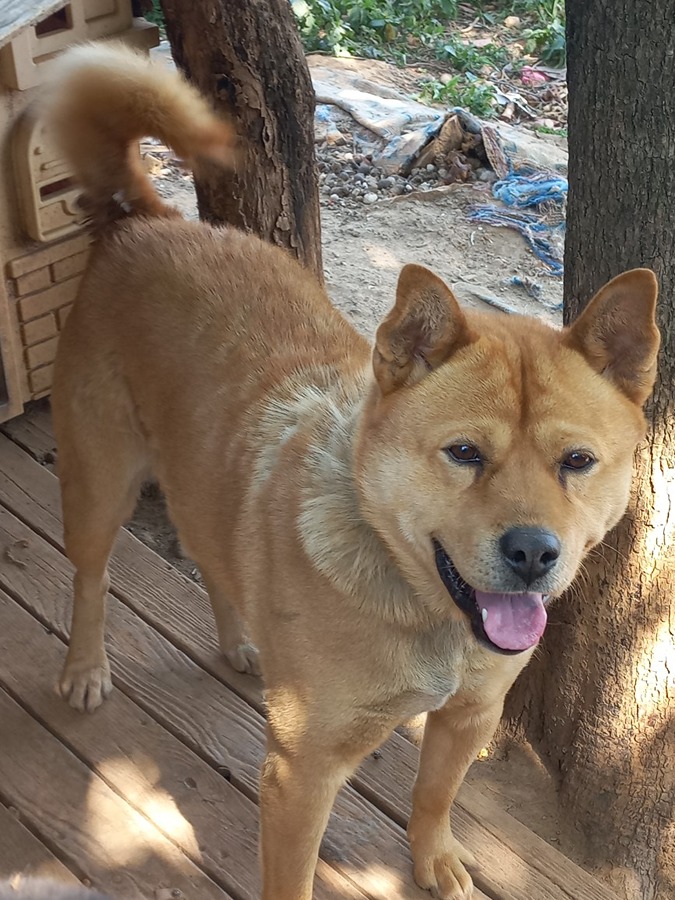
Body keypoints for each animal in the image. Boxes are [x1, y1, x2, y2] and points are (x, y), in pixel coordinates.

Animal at [45, 42, 664, 900]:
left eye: (576, 462)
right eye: (463, 453)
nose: (533, 554)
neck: (424, 608)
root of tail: (146, 217)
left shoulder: (467, 716)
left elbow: (433, 795)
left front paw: (433, 859)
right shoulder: (300, 774)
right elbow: (292, 878)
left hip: (200, 472)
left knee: (210, 552)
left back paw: (241, 642)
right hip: (99, 483)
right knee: (90, 577)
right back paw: (83, 667)